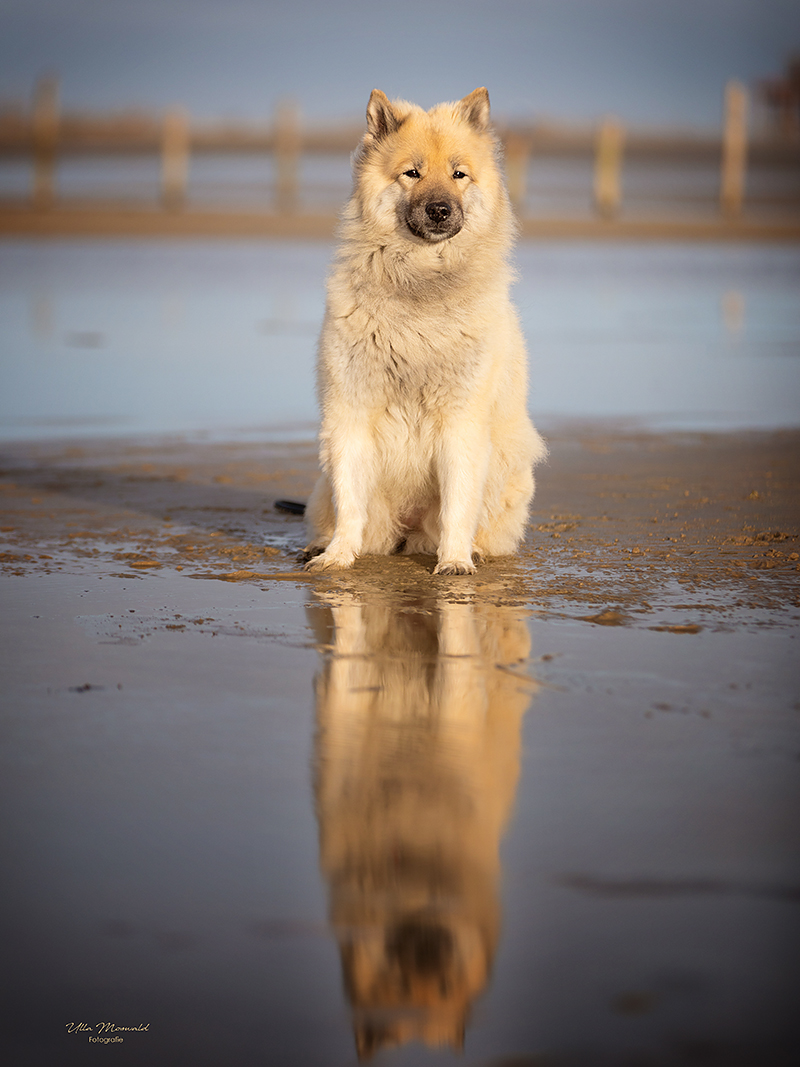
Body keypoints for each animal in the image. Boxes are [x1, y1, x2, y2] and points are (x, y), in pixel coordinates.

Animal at [302, 88, 550, 576]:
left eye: (459, 174)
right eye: (412, 173)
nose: (439, 209)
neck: (420, 290)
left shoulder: (461, 423)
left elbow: (458, 505)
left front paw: (454, 561)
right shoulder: (350, 416)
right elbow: (350, 503)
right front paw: (338, 556)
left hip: (508, 463)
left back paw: (472, 551)